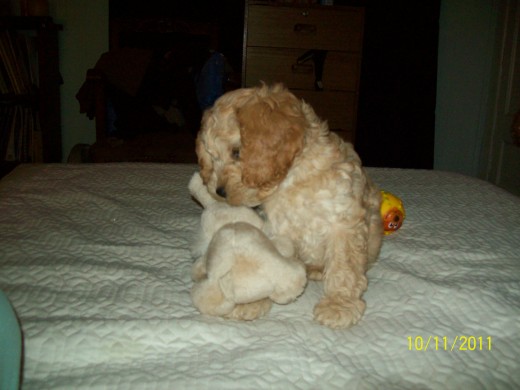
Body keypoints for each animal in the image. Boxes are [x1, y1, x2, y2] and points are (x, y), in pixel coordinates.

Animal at [195, 84, 382, 328]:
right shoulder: (279, 229)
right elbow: (268, 263)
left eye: (236, 152)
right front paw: (252, 301)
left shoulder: (343, 220)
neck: (293, 180)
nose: (219, 192)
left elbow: (344, 266)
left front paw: (339, 305)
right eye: (212, 157)